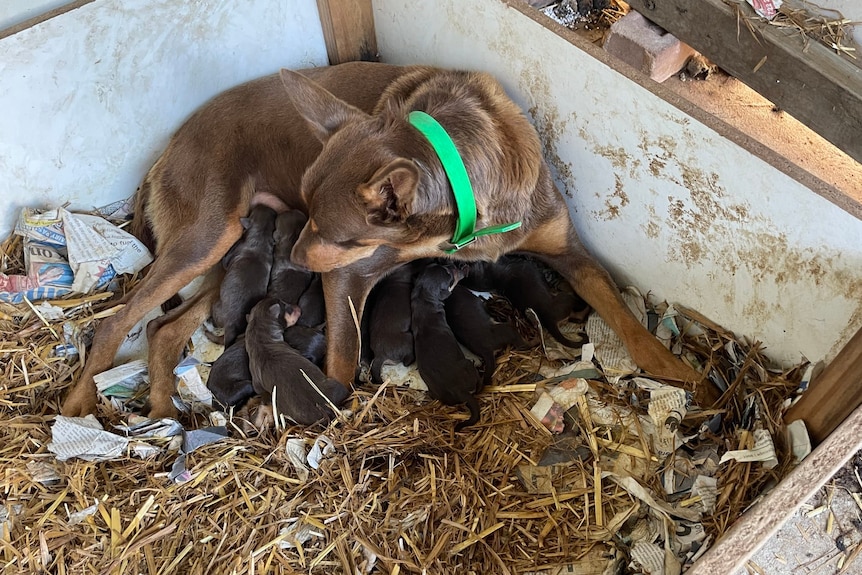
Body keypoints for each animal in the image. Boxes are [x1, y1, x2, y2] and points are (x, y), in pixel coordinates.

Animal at [209, 205, 276, 348]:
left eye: (253, 212)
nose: (262, 204)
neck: (261, 236)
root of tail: (231, 326)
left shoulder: (230, 259)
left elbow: (225, 262)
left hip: (217, 307)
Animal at [280, 65, 704, 402]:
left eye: (336, 235)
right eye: (310, 217)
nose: (293, 259)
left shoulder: (570, 251)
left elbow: (625, 317)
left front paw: (682, 373)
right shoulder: (353, 269)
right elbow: (343, 352)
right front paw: (329, 399)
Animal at [410, 264, 482, 430]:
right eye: (449, 274)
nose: (452, 265)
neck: (425, 302)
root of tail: (459, 390)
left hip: (437, 393)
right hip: (467, 365)